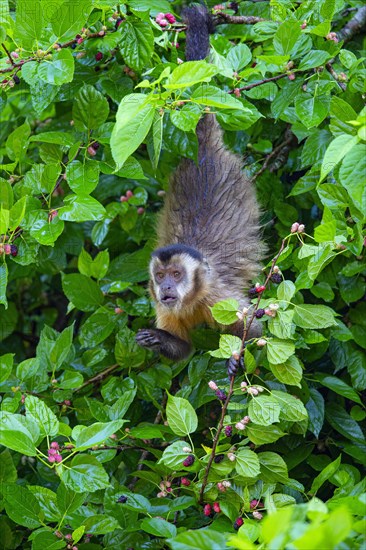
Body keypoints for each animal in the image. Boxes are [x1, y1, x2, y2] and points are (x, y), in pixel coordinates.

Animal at [136, 4, 262, 374]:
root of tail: (200, 151)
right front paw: (158, 340)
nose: (165, 286)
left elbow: (256, 332)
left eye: (177, 274)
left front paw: (237, 361)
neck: (192, 300)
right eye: (160, 275)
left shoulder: (218, 296)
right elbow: (183, 352)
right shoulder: (163, 305)